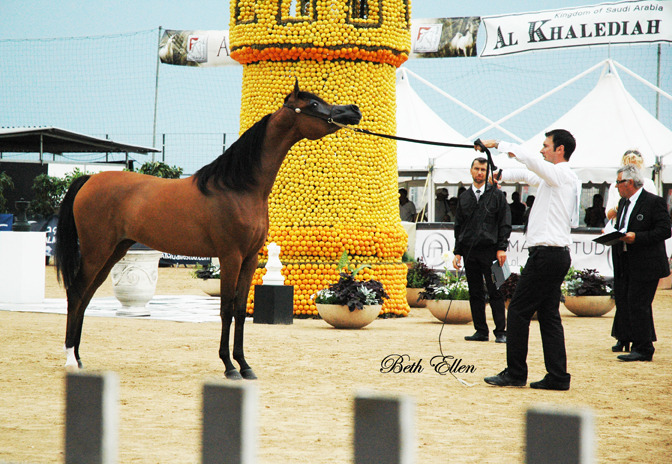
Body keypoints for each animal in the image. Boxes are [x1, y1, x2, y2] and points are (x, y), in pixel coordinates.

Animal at [55, 80, 362, 380]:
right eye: (313, 104)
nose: (353, 110)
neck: (239, 187)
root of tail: (88, 180)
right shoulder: (230, 256)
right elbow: (225, 309)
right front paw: (229, 366)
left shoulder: (250, 259)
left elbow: (240, 309)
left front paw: (245, 365)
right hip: (97, 251)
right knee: (76, 292)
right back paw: (70, 359)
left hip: (113, 252)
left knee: (86, 296)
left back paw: (79, 358)